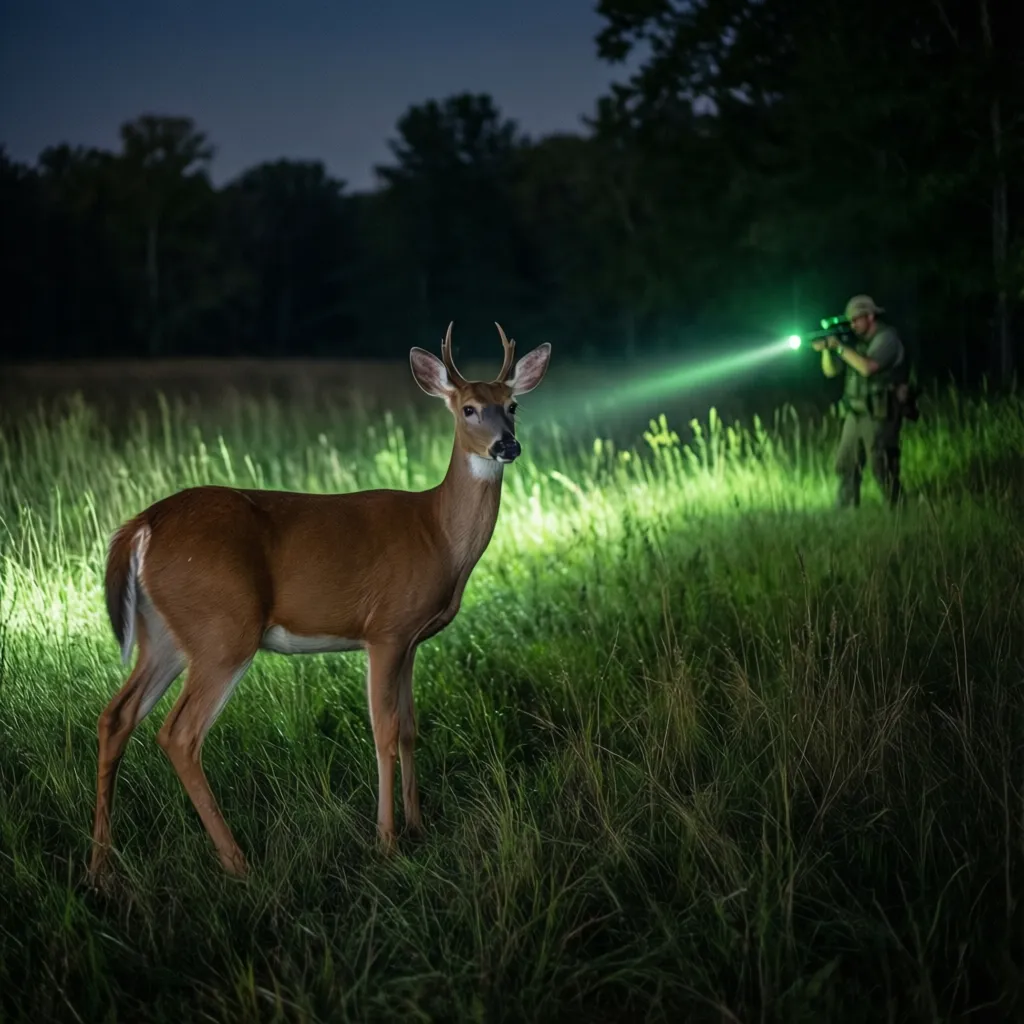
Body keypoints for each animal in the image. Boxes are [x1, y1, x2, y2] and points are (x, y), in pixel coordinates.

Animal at [87, 322, 552, 884]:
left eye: (512, 405)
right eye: (468, 408)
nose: (508, 445)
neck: (437, 533)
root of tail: (142, 525)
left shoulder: (412, 641)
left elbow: (411, 728)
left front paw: (418, 827)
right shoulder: (385, 630)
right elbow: (384, 732)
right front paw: (387, 841)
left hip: (165, 634)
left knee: (116, 716)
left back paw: (100, 866)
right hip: (224, 629)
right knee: (179, 734)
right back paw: (237, 861)